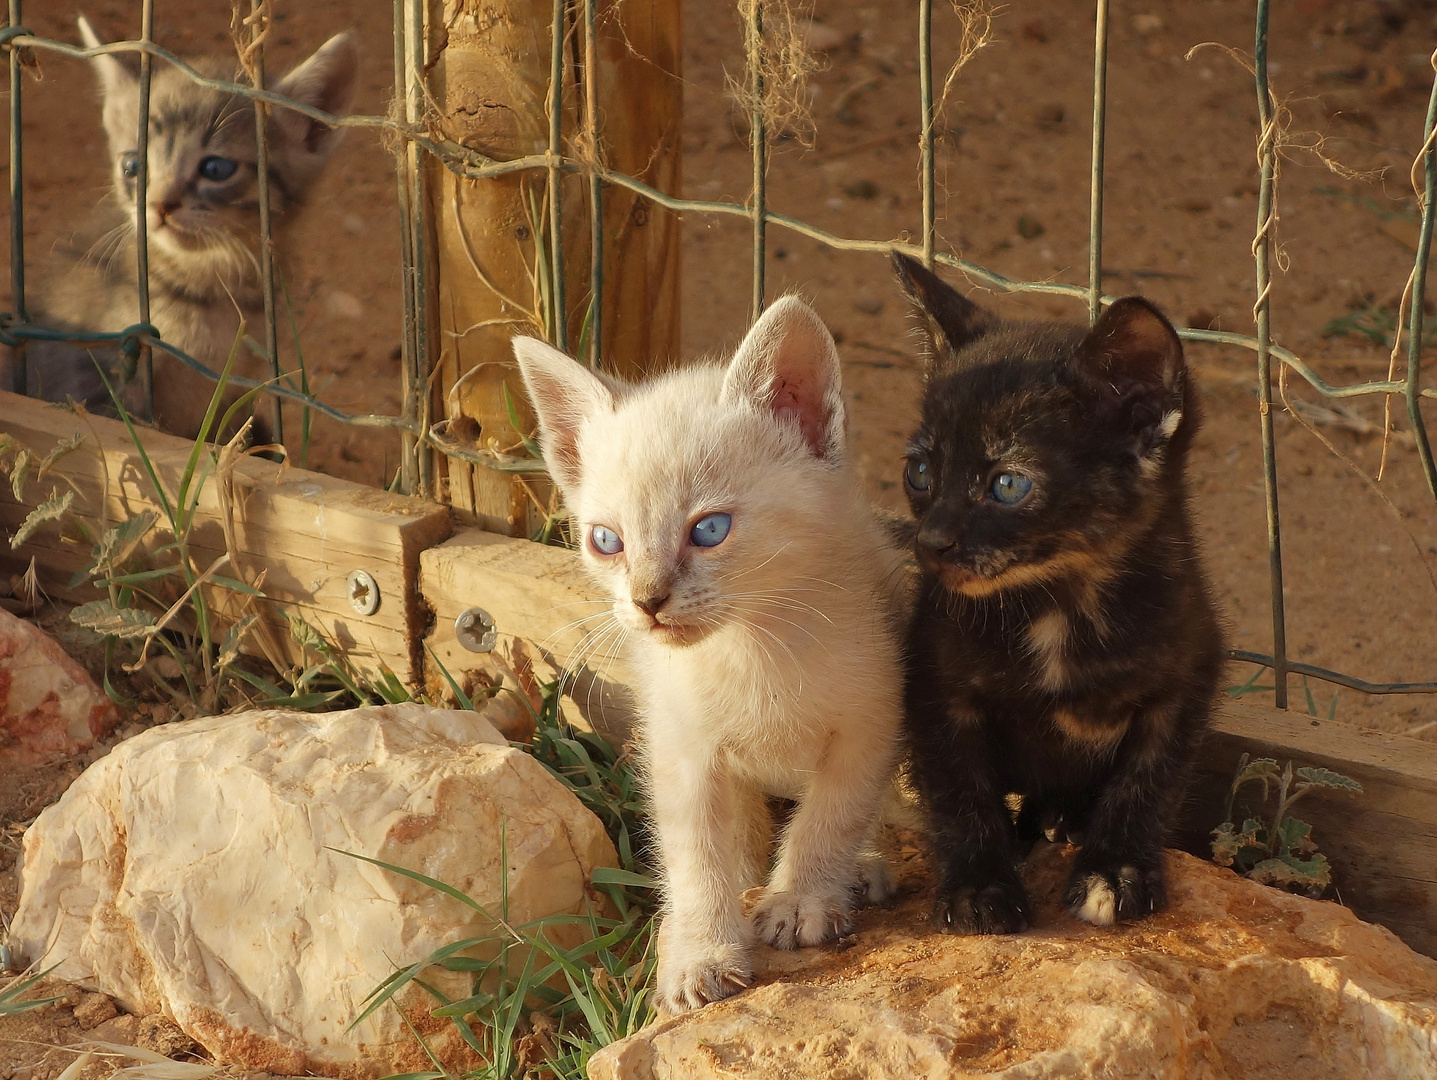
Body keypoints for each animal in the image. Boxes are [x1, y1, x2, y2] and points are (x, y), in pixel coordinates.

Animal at [12, 16, 359, 439]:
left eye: (216, 168)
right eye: (132, 165)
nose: (159, 204)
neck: (208, 291)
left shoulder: (234, 391)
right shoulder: (92, 373)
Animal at [511, 295, 902, 1011]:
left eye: (710, 529)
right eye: (606, 541)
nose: (647, 601)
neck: (753, 649)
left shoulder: (871, 723)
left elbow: (831, 816)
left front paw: (801, 897)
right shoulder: (683, 747)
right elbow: (697, 856)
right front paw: (700, 950)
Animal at [896, 251, 1224, 930]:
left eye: (1008, 485)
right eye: (920, 471)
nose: (931, 542)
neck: (1058, 601)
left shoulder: (1188, 675)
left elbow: (1147, 781)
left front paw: (1115, 870)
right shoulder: (935, 682)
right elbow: (958, 788)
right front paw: (979, 885)